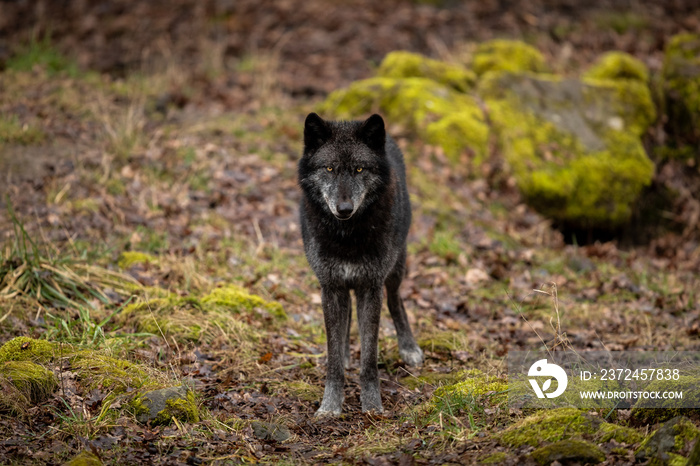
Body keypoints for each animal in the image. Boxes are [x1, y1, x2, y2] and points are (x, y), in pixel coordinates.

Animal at [298, 113, 424, 416]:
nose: (344, 209)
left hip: (395, 269)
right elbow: (333, 355)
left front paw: (372, 404)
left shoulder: (371, 287)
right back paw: (345, 354)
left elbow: (369, 357)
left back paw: (409, 347)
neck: (347, 236)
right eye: (329, 168)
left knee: (396, 301)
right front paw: (330, 405)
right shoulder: (331, 287)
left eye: (358, 169)